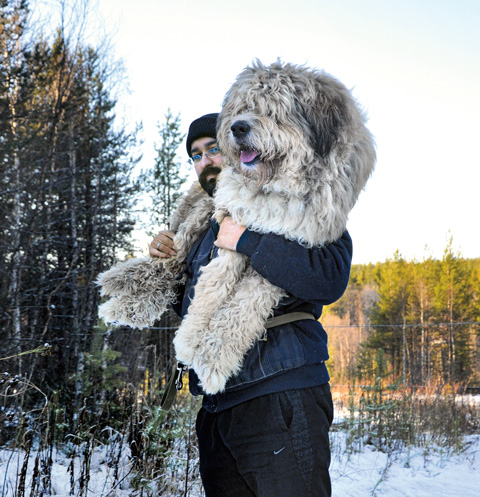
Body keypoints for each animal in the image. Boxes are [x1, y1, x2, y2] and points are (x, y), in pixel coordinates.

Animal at [97, 62, 376, 394]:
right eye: (242, 107)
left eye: (273, 110)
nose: (238, 127)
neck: (275, 187)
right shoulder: (232, 218)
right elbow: (212, 288)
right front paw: (192, 338)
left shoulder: (288, 242)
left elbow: (247, 302)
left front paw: (212, 356)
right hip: (205, 205)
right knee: (174, 253)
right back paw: (123, 289)